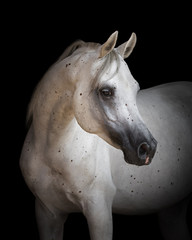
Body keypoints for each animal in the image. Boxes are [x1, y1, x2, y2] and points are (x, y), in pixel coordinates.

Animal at [19, 31, 192, 238]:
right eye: (106, 92)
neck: (51, 152)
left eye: (135, 89)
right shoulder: (47, 213)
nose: (148, 148)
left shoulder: (99, 213)